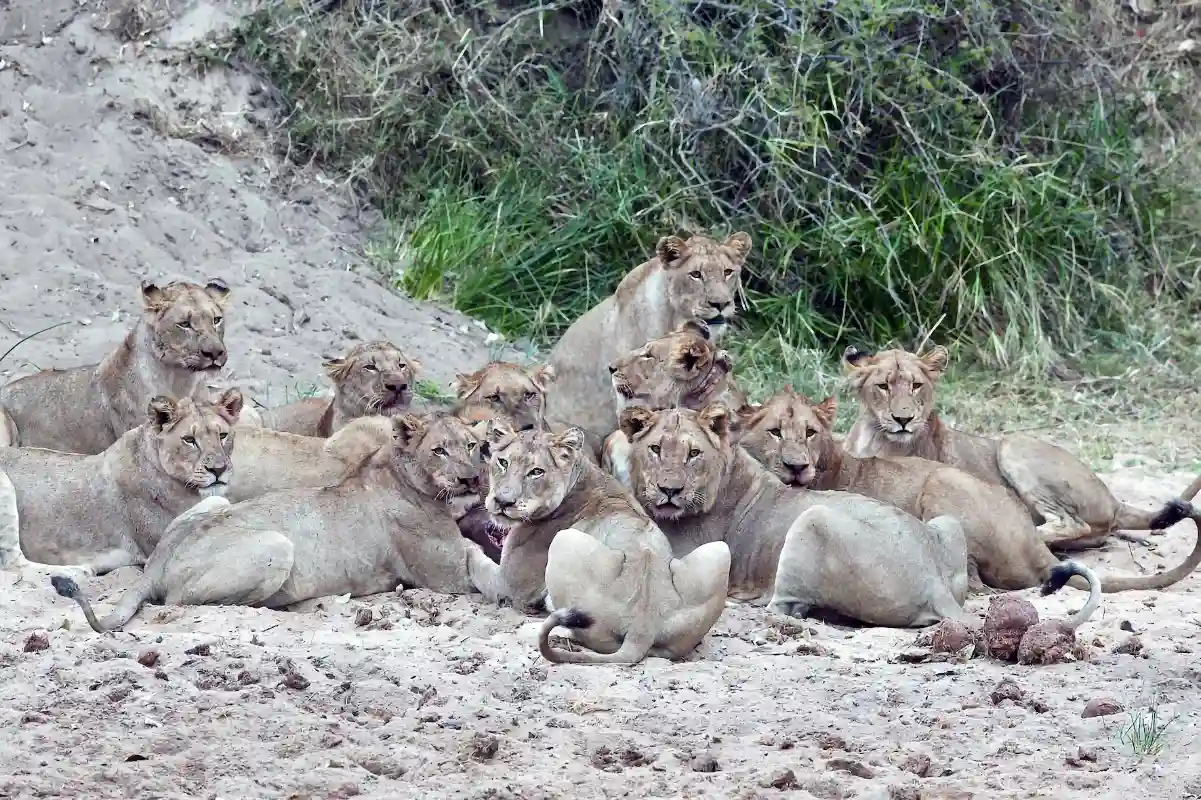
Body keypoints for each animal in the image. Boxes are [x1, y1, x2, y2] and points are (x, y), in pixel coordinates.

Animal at [0, 389, 242, 579]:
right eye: (189, 440)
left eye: (222, 435)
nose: (218, 470)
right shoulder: (159, 542)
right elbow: (217, 502)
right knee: (12, 564)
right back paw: (77, 570)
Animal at [51, 412, 502, 632]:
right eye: (439, 450)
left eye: (473, 446)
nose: (470, 479)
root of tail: (155, 567)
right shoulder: (445, 578)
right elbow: (477, 563)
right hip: (276, 546)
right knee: (189, 602)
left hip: (213, 502)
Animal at [468, 422, 731, 664]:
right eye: (503, 463)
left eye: (536, 472)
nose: (503, 502)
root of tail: (643, 626)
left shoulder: (509, 586)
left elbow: (476, 564)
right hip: (720, 550)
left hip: (564, 539)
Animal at [616, 403, 987, 627]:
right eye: (655, 449)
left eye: (693, 453)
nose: (670, 490)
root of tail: (934, 582)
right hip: (946, 522)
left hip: (813, 519)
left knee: (783, 607)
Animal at [842, 344, 1199, 550]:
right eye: (883, 386)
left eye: (916, 385)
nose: (903, 419)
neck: (872, 434)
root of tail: (1113, 498)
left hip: (1014, 443)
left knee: (1070, 523)